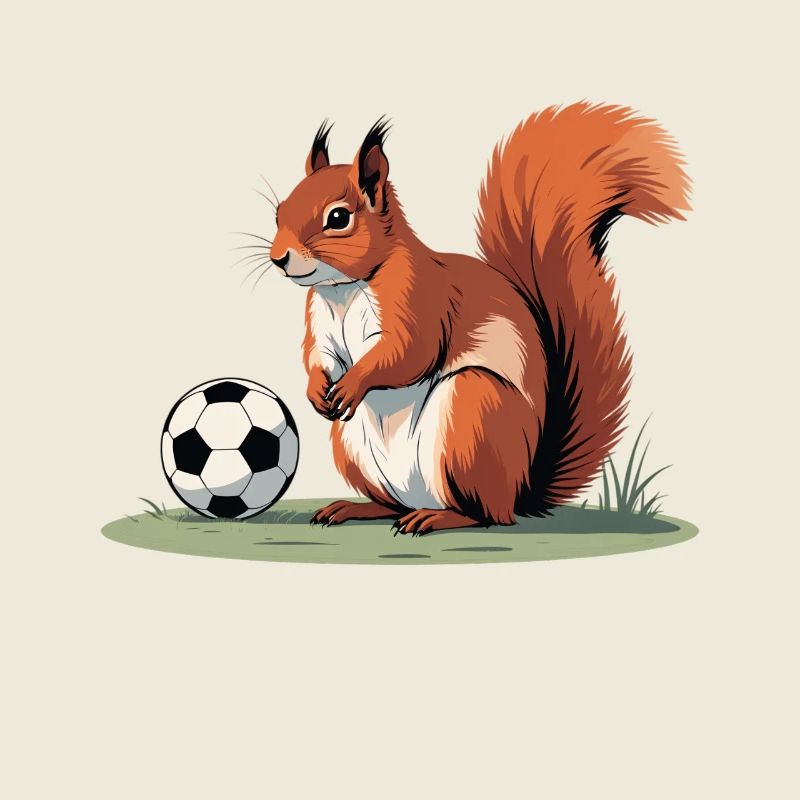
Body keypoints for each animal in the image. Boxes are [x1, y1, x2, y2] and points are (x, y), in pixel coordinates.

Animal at [267, 102, 690, 534]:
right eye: (280, 212)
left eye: (338, 218)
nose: (278, 258)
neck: (345, 289)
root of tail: (521, 491)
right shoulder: (321, 326)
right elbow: (318, 357)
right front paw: (316, 389)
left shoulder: (422, 302)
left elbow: (408, 353)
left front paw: (354, 384)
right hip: (352, 447)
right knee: (392, 504)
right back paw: (356, 508)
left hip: (474, 413)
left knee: (486, 515)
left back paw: (436, 517)